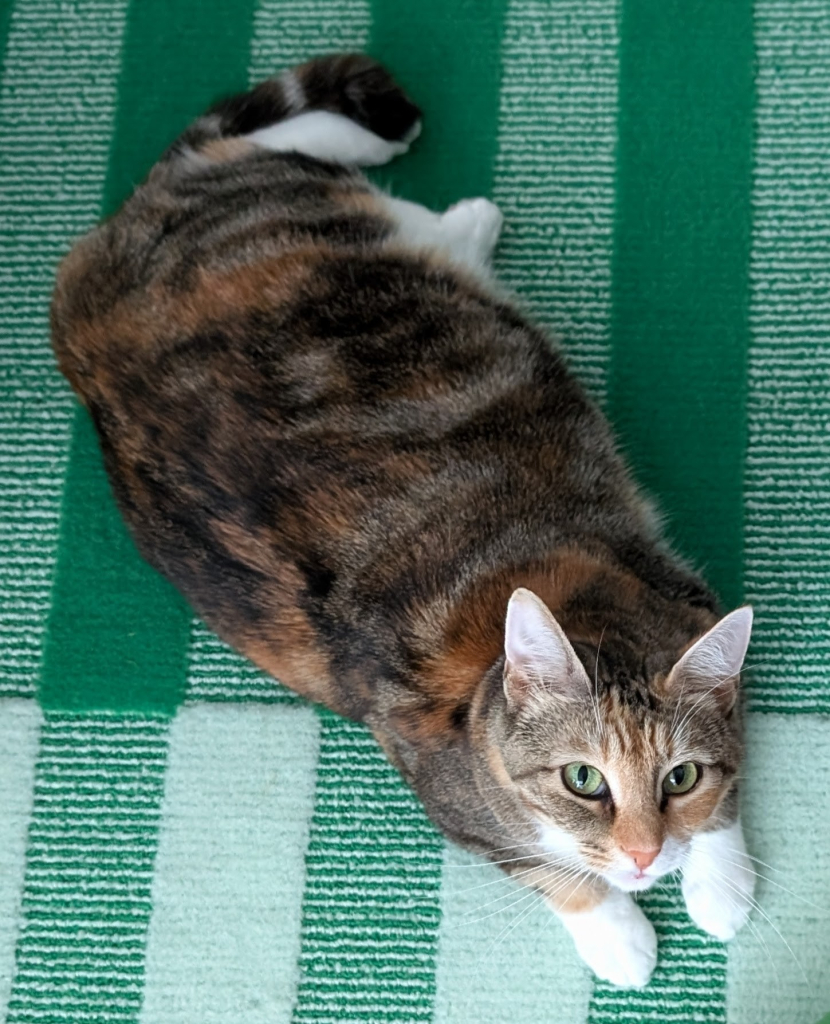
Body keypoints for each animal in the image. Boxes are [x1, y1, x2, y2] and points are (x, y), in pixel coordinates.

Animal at [48, 54, 757, 983]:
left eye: (679, 778)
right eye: (583, 781)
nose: (645, 859)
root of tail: (105, 250)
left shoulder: (691, 606)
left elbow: (732, 782)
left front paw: (720, 883)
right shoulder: (437, 775)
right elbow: (537, 862)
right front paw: (618, 934)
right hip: (313, 220)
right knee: (284, 160)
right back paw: (463, 209)